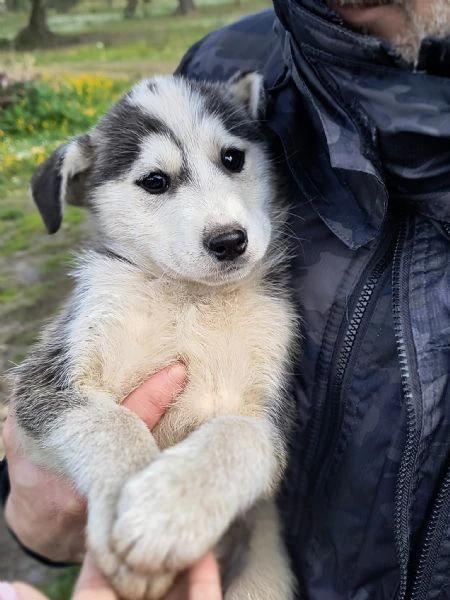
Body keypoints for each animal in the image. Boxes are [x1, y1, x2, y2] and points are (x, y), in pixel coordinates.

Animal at [11, 74, 296, 600]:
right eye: (155, 181)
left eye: (232, 158)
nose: (230, 241)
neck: (189, 301)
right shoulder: (44, 381)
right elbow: (114, 421)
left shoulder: (274, 418)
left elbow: (236, 433)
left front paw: (168, 509)